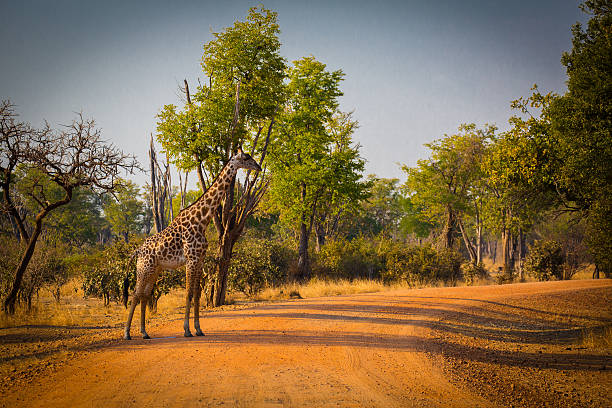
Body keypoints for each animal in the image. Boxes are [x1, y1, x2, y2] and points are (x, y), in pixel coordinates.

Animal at [124, 148, 260, 340]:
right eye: (246, 158)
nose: (259, 167)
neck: (202, 220)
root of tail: (137, 251)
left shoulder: (200, 260)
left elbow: (196, 295)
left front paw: (198, 329)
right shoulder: (191, 259)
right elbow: (188, 294)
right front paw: (187, 330)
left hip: (154, 269)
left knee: (144, 295)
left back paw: (144, 332)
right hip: (144, 268)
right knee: (136, 295)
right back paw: (127, 333)